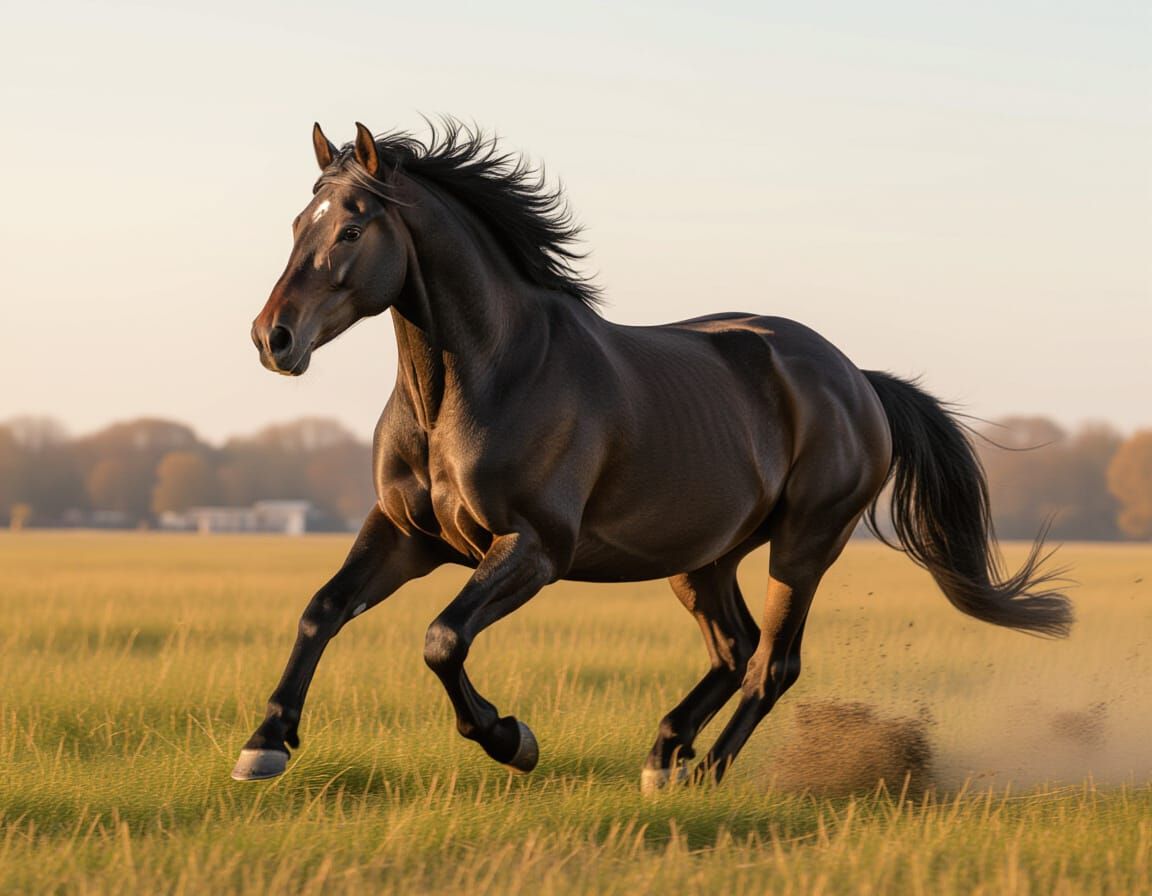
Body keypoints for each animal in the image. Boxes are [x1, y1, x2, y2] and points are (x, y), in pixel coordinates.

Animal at [233, 121, 1072, 789]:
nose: (273, 339)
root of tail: (857, 380)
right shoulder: (408, 534)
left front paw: (513, 739)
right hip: (703, 559)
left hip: (804, 545)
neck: (478, 383)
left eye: (350, 230)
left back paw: (703, 774)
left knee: (772, 663)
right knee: (735, 649)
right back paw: (665, 753)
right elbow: (322, 610)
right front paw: (264, 745)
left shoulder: (534, 548)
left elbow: (442, 640)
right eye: (298, 223)